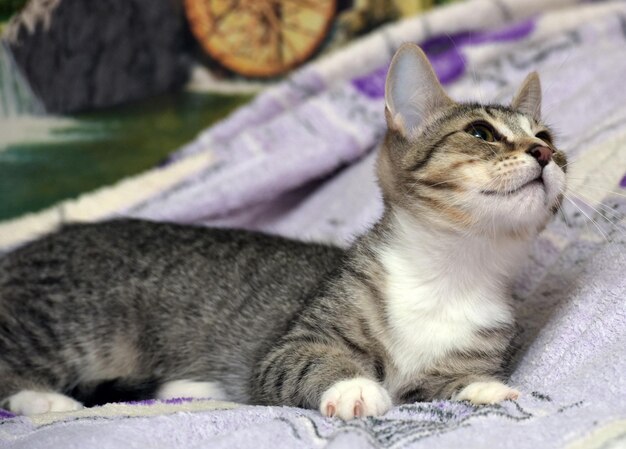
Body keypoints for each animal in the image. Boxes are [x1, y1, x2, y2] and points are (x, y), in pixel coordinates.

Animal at [0, 43, 564, 418]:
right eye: (481, 133)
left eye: (548, 138)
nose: (543, 153)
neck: (450, 272)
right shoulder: (289, 347)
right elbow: (304, 364)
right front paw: (352, 386)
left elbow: (443, 384)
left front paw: (483, 389)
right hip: (72, 326)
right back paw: (44, 398)